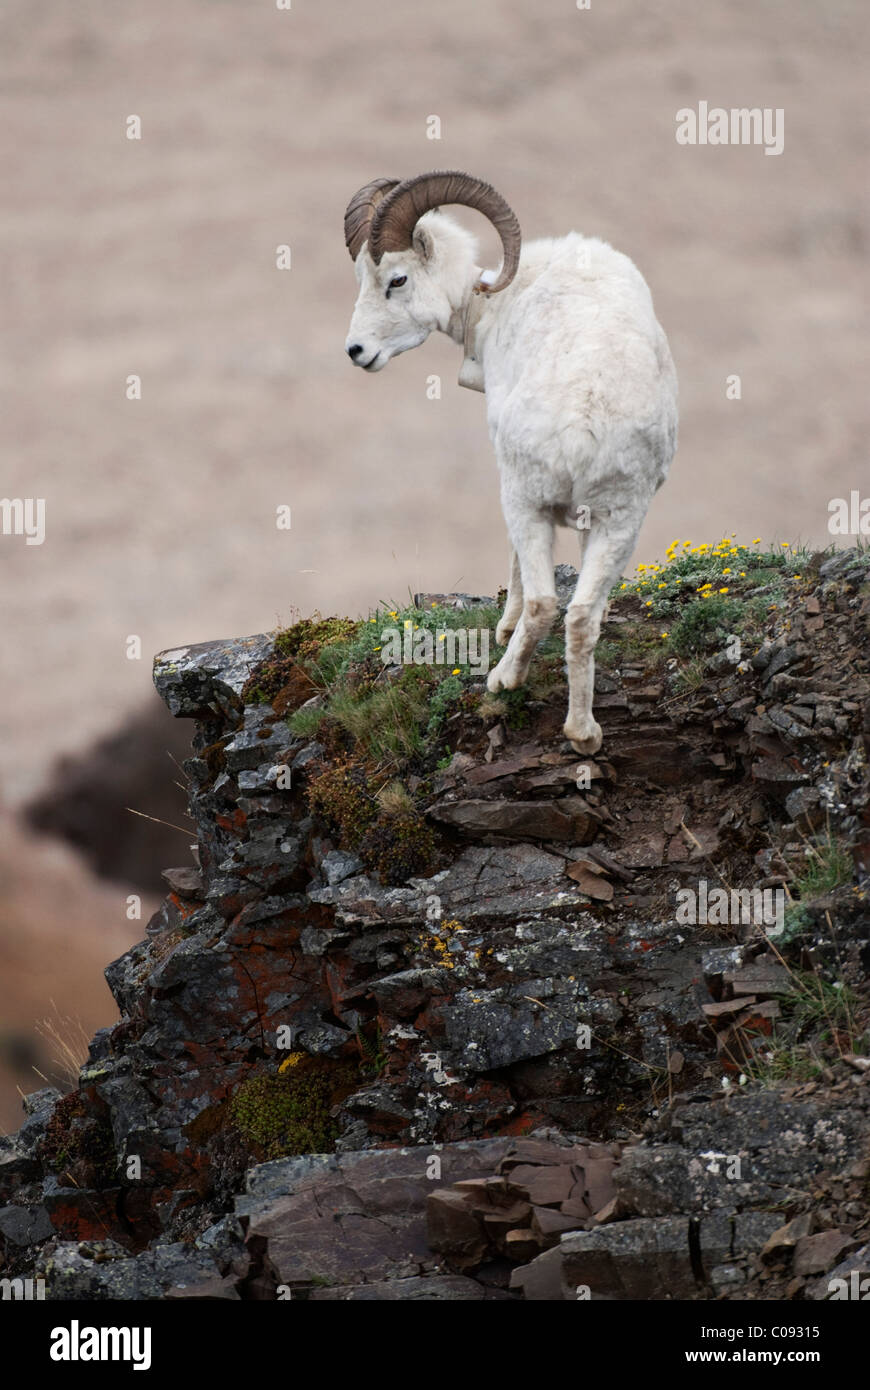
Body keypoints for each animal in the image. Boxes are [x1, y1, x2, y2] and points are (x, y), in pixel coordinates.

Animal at [341, 177, 675, 761]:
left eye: (397, 279)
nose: (356, 351)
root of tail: (585, 418)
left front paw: (501, 631)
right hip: (622, 517)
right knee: (578, 618)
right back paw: (583, 734)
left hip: (525, 499)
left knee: (542, 602)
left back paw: (502, 679)